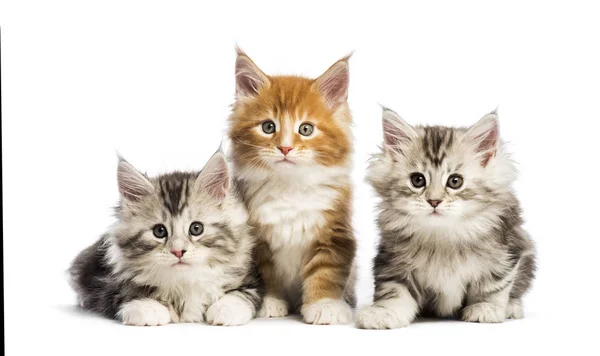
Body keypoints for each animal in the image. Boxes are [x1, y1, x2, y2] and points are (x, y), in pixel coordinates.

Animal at [69, 151, 262, 326]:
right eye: (159, 231)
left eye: (196, 228)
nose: (178, 251)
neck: (184, 282)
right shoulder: (105, 284)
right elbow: (126, 294)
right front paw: (148, 308)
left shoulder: (251, 281)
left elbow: (243, 294)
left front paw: (226, 309)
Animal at [226, 50, 356, 326]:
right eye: (268, 126)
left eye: (306, 129)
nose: (285, 148)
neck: (290, 187)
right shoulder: (259, 243)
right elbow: (267, 275)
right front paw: (270, 303)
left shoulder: (333, 234)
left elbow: (325, 273)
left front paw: (324, 306)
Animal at [354, 108, 536, 328]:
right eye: (417, 180)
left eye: (455, 181)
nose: (434, 201)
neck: (442, 236)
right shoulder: (393, 262)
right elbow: (395, 292)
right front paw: (383, 312)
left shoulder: (506, 252)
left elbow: (492, 285)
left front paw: (485, 308)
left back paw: (512, 307)